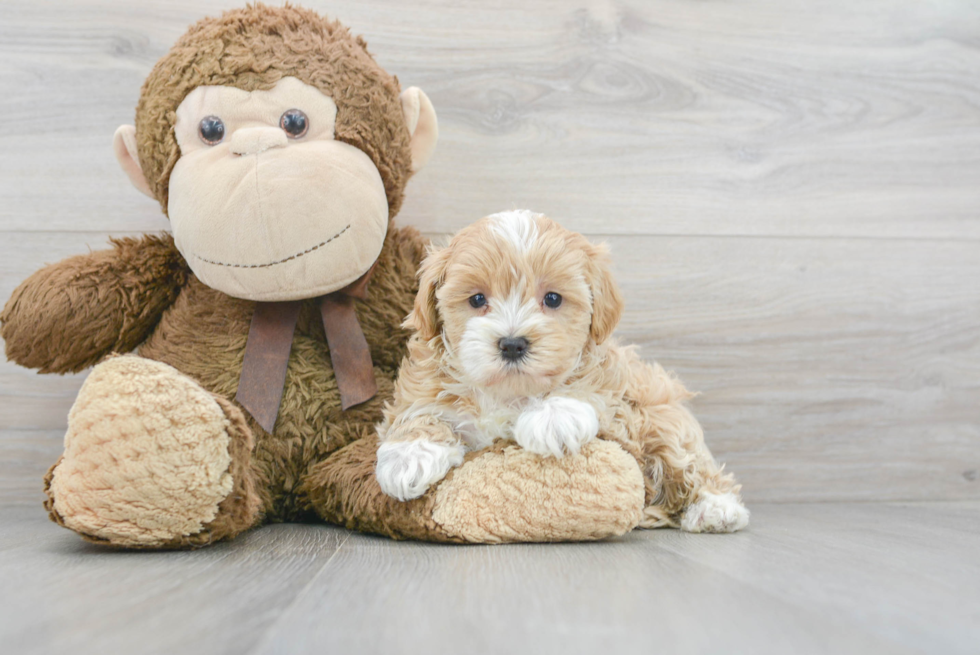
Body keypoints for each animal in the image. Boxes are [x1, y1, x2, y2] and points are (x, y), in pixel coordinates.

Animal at [376, 210, 752, 532]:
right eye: (477, 299)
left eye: (553, 299)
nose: (512, 344)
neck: (508, 393)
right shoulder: (423, 385)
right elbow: (418, 412)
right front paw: (410, 455)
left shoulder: (619, 400)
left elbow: (588, 386)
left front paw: (553, 417)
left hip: (662, 415)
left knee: (689, 462)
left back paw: (716, 507)